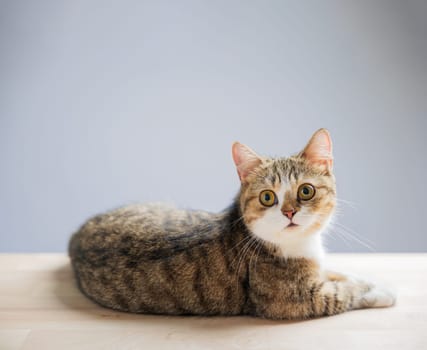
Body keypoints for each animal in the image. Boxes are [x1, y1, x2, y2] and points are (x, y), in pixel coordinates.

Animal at [69, 129, 394, 320]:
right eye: (267, 197)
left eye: (306, 191)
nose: (289, 212)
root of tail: (76, 237)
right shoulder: (295, 300)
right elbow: (343, 294)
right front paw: (379, 292)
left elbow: (338, 273)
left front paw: (364, 279)